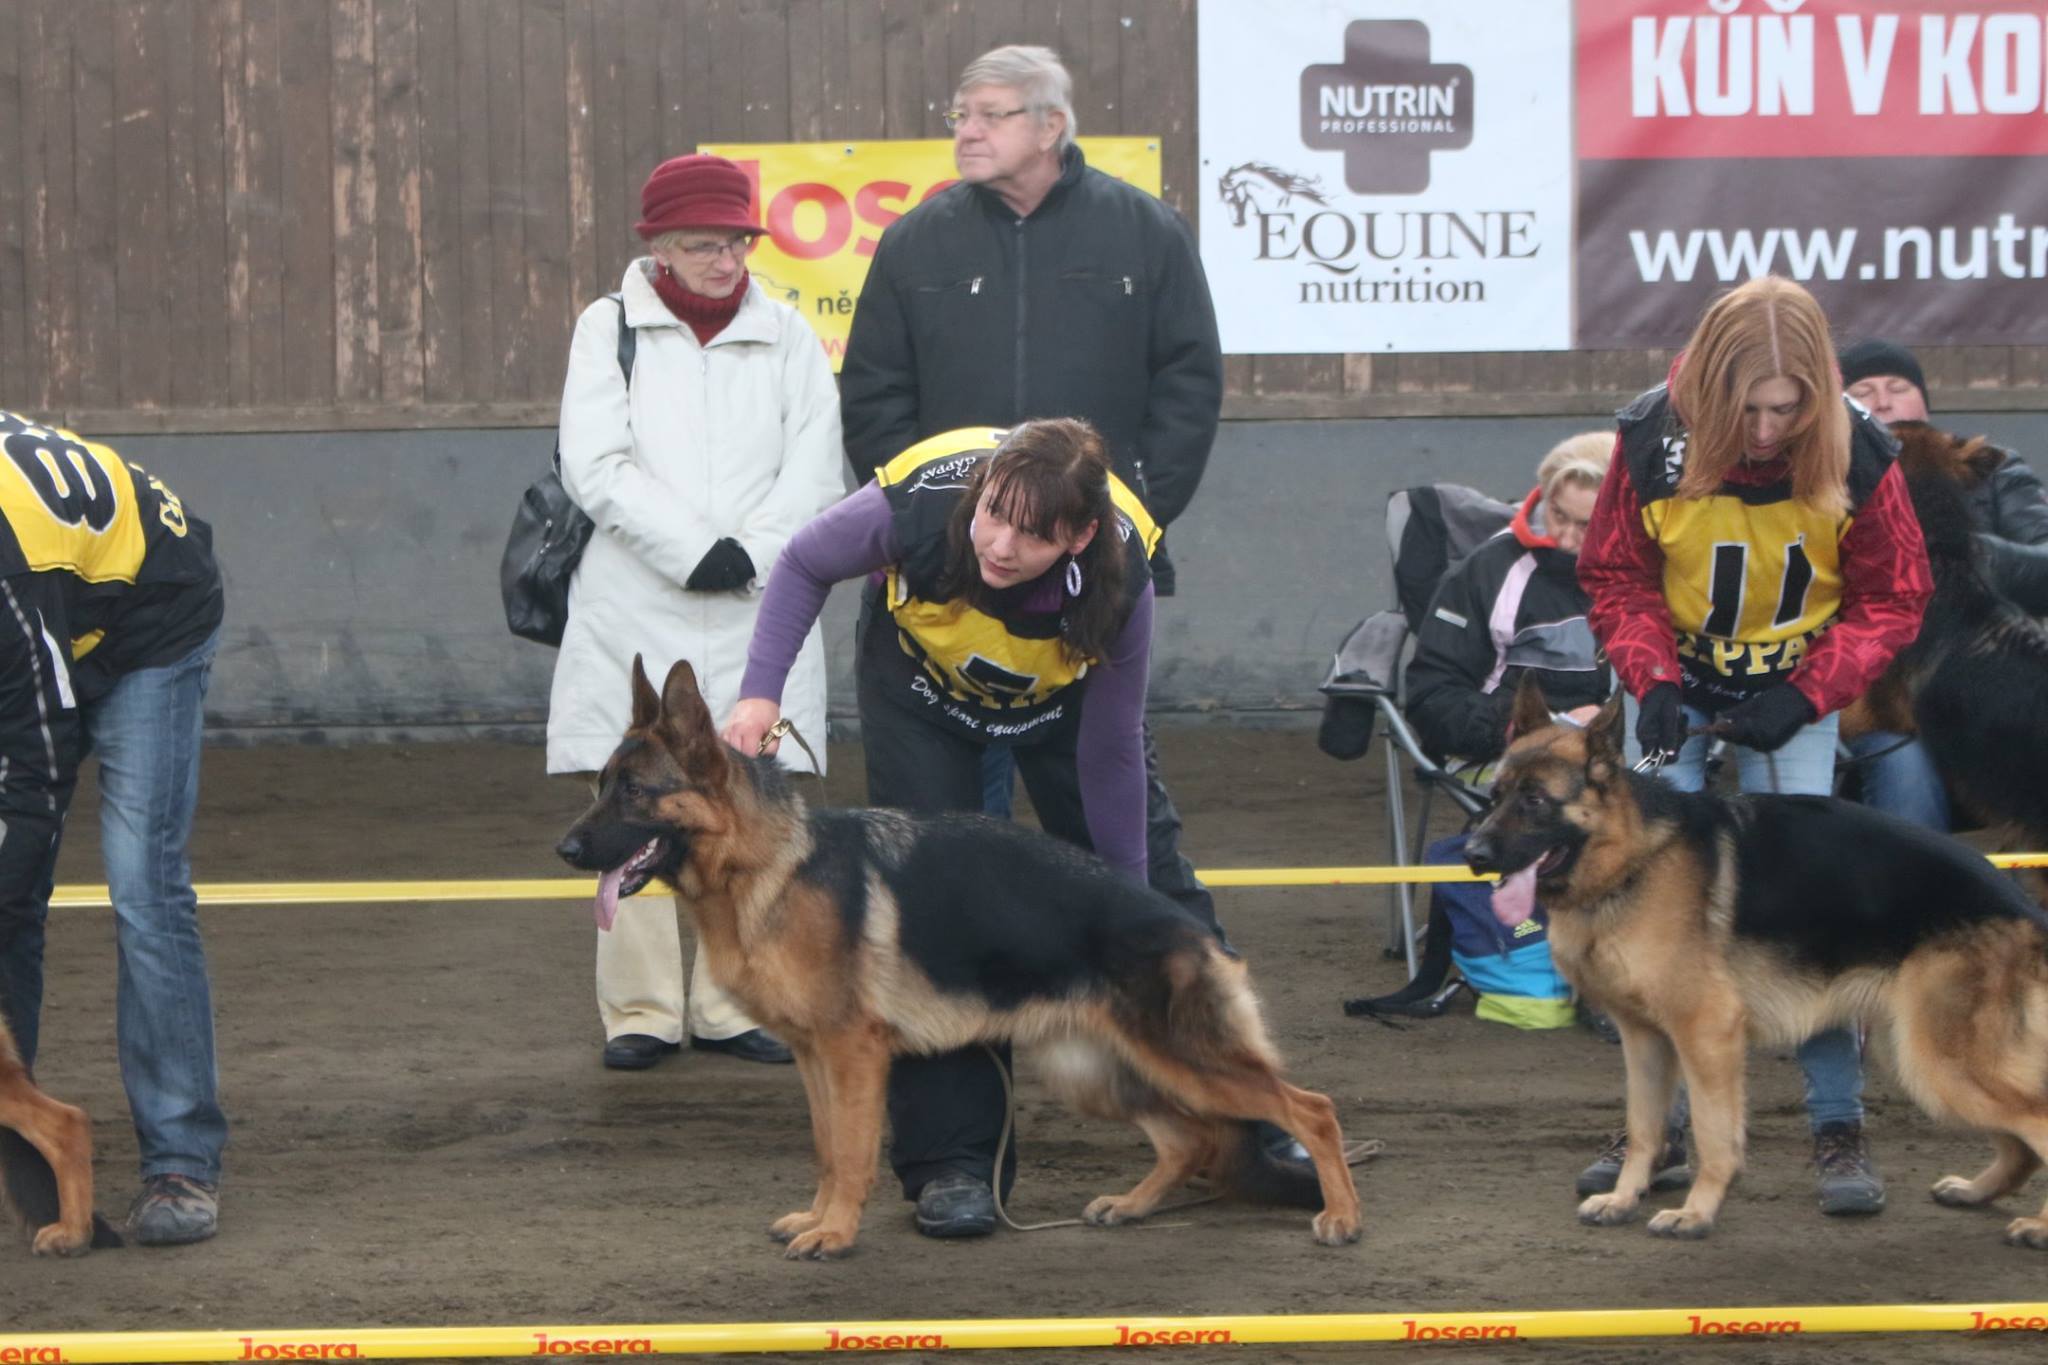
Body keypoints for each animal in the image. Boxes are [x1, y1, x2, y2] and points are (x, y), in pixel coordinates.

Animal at [555, 656, 1362, 1260]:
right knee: (1190, 1138)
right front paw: (817, 1217)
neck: (765, 865)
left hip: (1186, 1060)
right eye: (598, 785)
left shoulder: (853, 1055)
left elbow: (852, 1152)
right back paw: (1131, 1205)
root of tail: (1193, 931)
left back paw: (1342, 1215)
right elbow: (826, 1147)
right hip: (1099, 1072)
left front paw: (837, 1233)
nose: (563, 848)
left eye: (635, 791)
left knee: (1311, 1109)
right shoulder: (815, 1057)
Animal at [1465, 677, 2048, 1247]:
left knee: (2036, 1121)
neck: (1634, 858)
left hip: (1938, 1061)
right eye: (1494, 796)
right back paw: (1976, 1191)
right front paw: (1625, 1199)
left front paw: (1696, 1213)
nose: (1472, 855)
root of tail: (2021, 903)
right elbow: (1645, 1129)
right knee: (2019, 1144)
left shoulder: (1707, 1034)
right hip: (1914, 1050)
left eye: (1535, 800)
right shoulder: (1644, 1038)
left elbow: (1712, 1133)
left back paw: (2036, 1226)